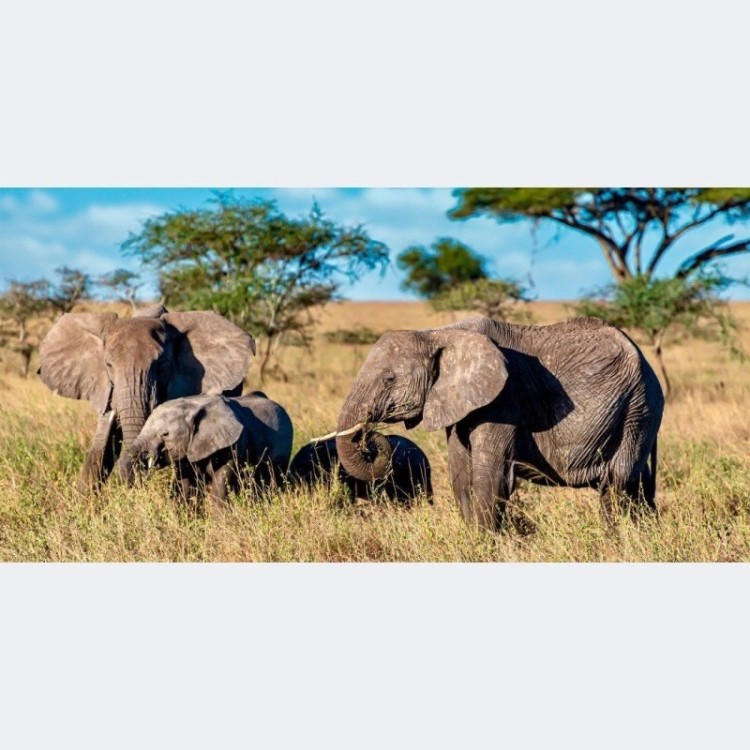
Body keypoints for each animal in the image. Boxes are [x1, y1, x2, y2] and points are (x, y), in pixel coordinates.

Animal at [334, 315, 665, 533]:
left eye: (389, 379)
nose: (370, 438)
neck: (439, 334)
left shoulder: (504, 399)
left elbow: (489, 476)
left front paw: (485, 544)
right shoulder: (458, 402)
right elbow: (460, 475)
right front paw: (472, 539)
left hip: (638, 408)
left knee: (618, 481)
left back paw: (616, 539)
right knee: (635, 485)